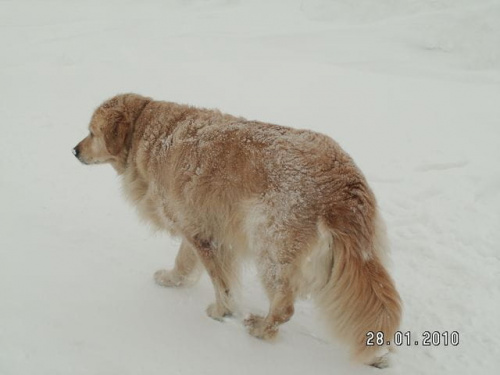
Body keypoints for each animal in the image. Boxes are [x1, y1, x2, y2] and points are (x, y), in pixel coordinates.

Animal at [73, 93, 402, 368]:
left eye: (92, 132)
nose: (74, 150)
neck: (148, 132)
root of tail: (342, 183)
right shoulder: (193, 224)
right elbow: (183, 261)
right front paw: (172, 279)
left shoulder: (205, 236)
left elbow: (221, 283)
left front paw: (221, 312)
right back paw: (379, 354)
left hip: (269, 244)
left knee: (284, 308)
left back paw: (260, 329)